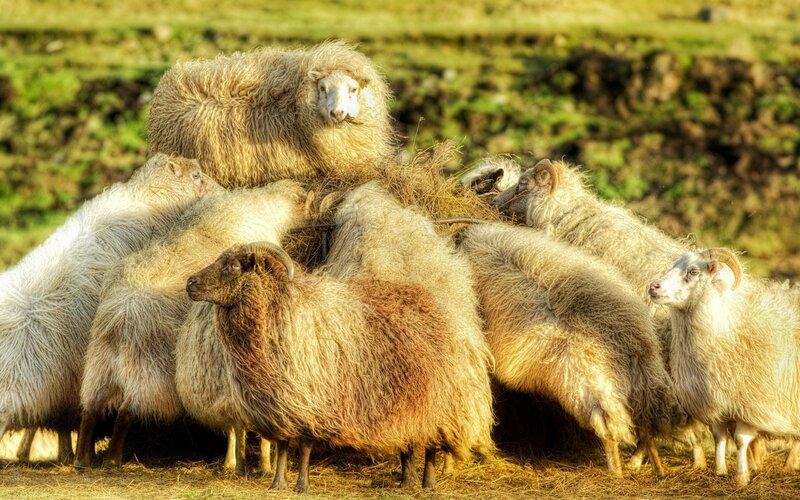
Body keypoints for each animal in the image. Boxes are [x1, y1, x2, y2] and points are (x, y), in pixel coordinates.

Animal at [73, 180, 306, 469]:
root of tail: (117, 319)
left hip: (99, 366)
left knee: (90, 410)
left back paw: (82, 460)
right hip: (148, 372)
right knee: (127, 411)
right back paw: (113, 460)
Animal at [186, 235, 491, 493]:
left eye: (235, 265)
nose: (190, 283)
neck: (282, 311)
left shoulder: (314, 403)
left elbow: (304, 448)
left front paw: (302, 487)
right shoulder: (282, 405)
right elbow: (283, 446)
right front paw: (277, 484)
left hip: (442, 406)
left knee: (430, 448)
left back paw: (427, 483)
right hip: (409, 406)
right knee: (408, 445)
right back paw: (406, 482)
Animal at [459, 222, 683, 476]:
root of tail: (630, 346)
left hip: (592, 396)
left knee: (609, 433)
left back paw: (616, 471)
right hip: (644, 391)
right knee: (645, 429)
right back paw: (652, 467)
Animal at [649, 247, 800, 486]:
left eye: (693, 271)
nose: (653, 287)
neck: (726, 331)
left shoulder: (748, 405)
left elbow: (739, 441)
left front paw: (741, 476)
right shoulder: (716, 404)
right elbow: (719, 437)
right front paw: (719, 471)